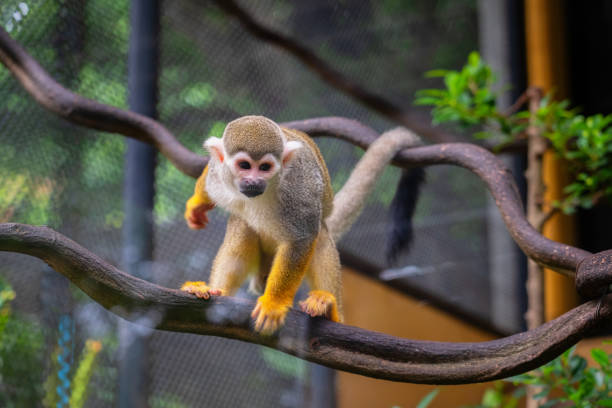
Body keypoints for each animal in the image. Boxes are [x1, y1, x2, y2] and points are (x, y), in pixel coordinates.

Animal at [180, 115, 420, 334]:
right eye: (244, 166)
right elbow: (208, 182)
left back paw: (330, 312)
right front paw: (197, 204)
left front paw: (274, 304)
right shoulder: (218, 175)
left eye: (265, 167)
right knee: (242, 225)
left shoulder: (296, 190)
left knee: (319, 235)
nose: (254, 181)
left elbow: (301, 239)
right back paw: (215, 292)